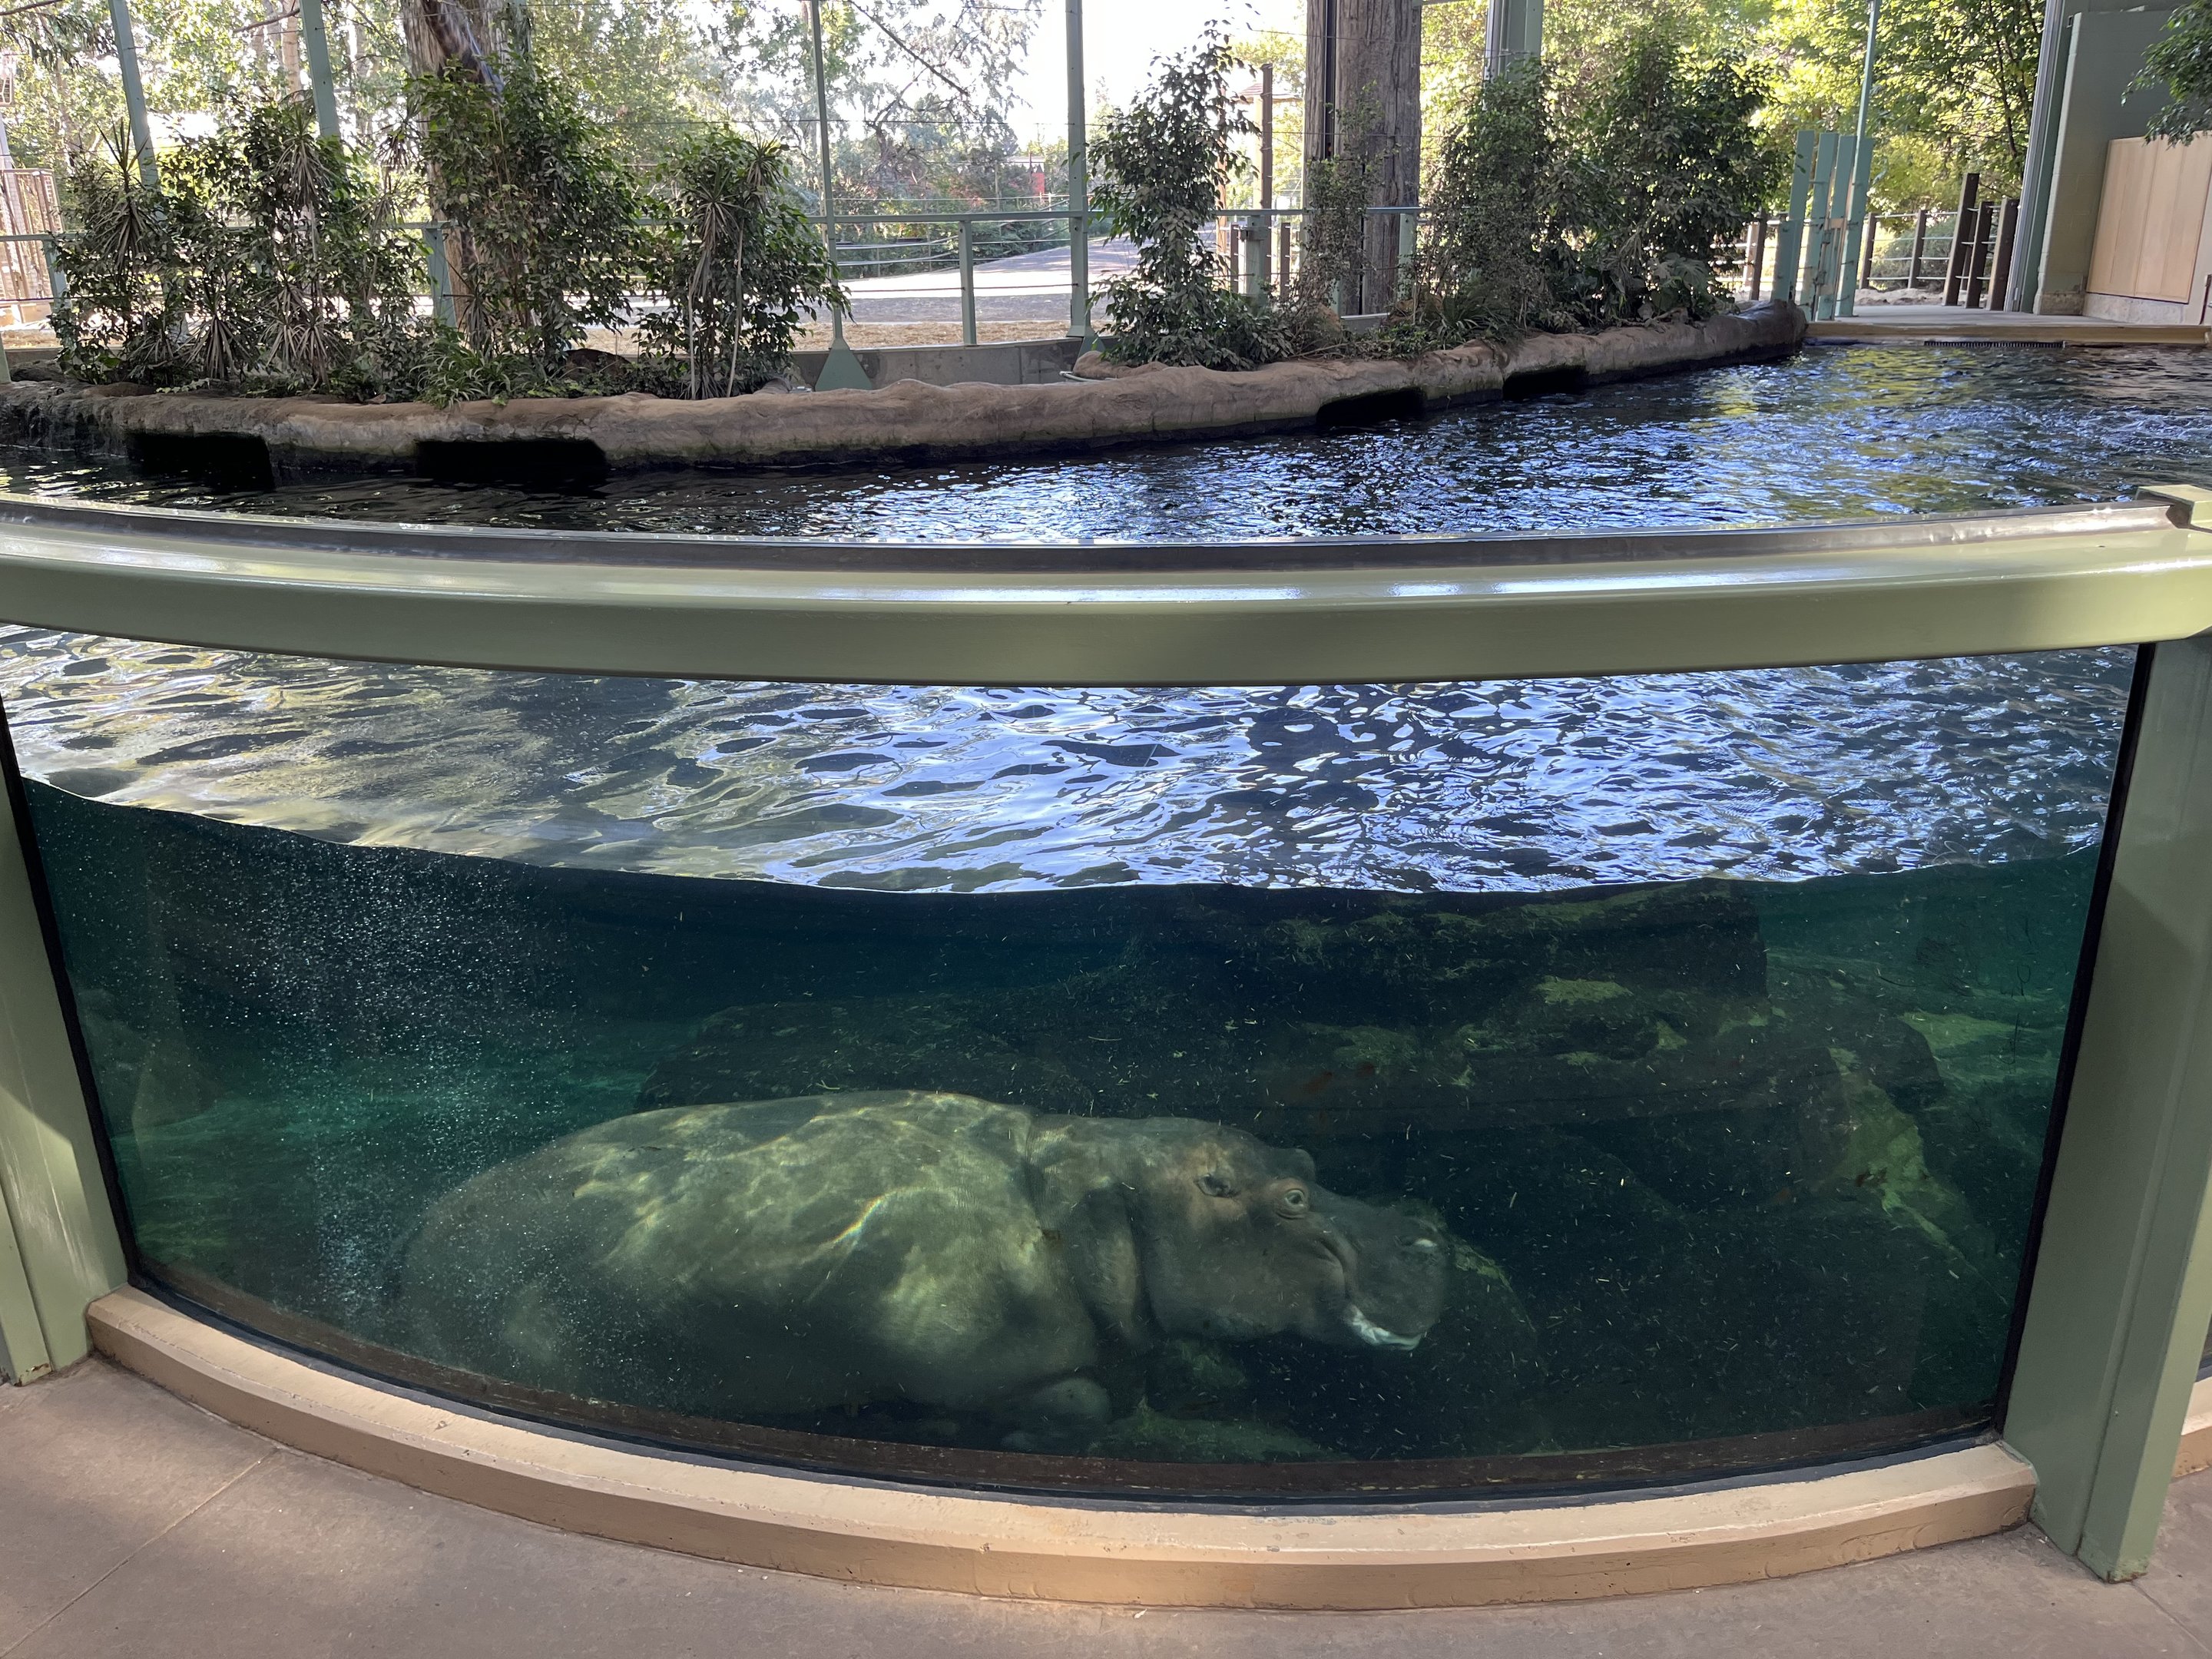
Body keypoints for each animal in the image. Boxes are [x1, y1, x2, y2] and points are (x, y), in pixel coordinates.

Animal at [396, 1090, 1450, 1436]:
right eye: (1293, 1202)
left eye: (1305, 1158)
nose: (1427, 1239)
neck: (1083, 1193)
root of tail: (414, 1238)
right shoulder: (975, 1359)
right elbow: (1082, 1401)